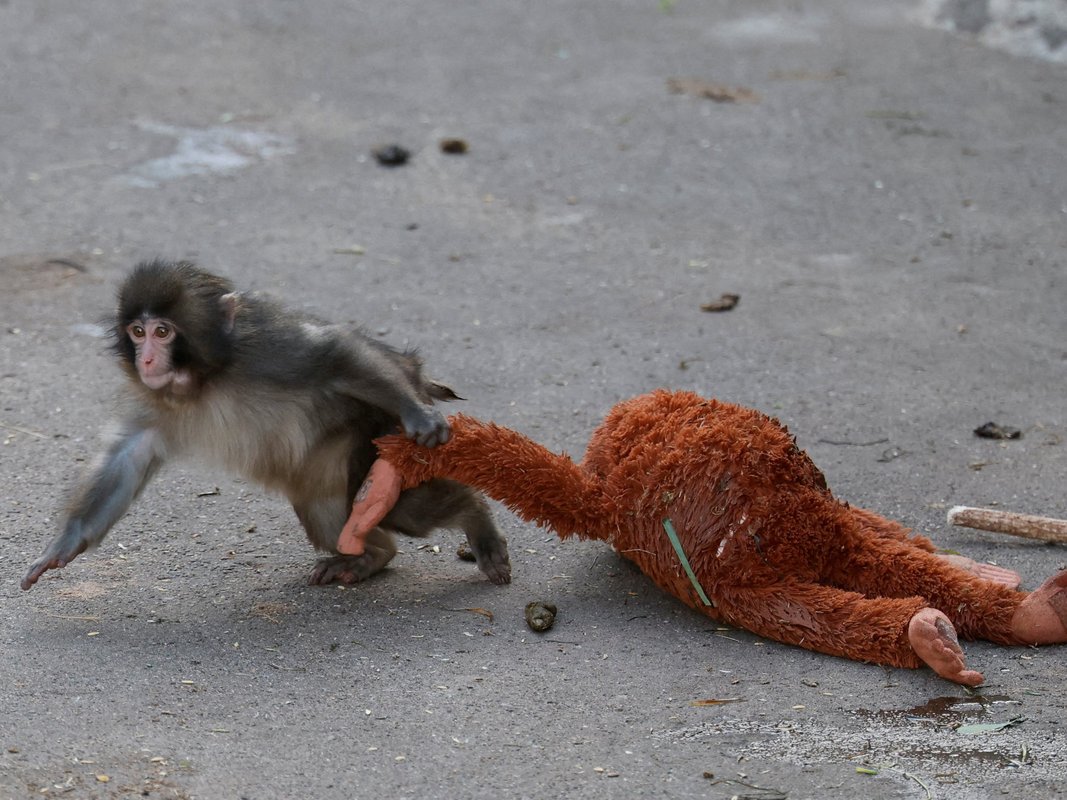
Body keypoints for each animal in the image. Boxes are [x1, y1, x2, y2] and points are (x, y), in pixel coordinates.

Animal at [21, 259, 510, 591]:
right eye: (137, 333)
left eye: (162, 332)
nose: (146, 360)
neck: (205, 380)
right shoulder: (153, 398)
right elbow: (128, 455)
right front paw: (63, 546)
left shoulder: (266, 350)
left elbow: (331, 354)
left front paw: (420, 414)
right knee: (330, 514)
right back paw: (370, 557)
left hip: (380, 431)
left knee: (410, 507)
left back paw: (476, 519)